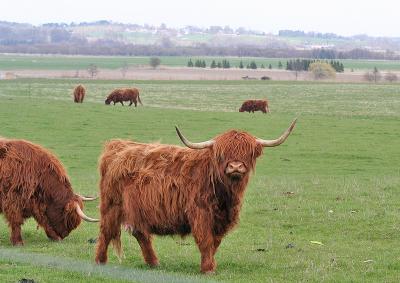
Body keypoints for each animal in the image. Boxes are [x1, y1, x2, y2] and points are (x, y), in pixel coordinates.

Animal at [94, 120, 296, 276]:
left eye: (248, 152)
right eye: (222, 154)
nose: (236, 166)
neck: (224, 195)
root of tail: (118, 145)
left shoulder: (220, 219)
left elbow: (215, 242)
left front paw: (209, 264)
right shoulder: (200, 213)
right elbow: (205, 240)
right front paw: (208, 269)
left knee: (140, 233)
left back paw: (154, 263)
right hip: (112, 205)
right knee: (106, 231)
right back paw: (100, 262)